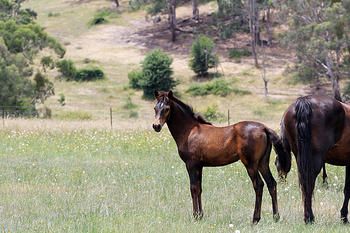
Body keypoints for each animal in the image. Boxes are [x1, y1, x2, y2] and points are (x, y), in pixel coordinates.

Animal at [152, 90, 286, 223]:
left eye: (167, 108)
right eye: (155, 108)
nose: (156, 126)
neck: (189, 131)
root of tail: (264, 128)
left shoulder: (191, 164)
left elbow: (193, 188)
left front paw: (195, 216)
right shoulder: (199, 166)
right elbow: (199, 189)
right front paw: (201, 215)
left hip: (250, 164)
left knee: (258, 185)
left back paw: (255, 219)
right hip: (263, 163)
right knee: (271, 184)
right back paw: (276, 217)